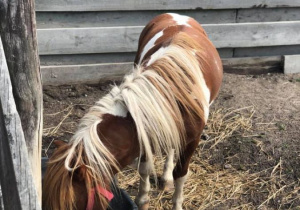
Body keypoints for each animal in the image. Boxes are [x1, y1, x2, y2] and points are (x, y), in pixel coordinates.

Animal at [42, 13, 223, 210]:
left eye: (74, 205)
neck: (168, 94)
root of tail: (178, 15)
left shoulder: (192, 141)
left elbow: (180, 174)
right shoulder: (145, 134)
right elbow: (145, 168)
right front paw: (143, 200)